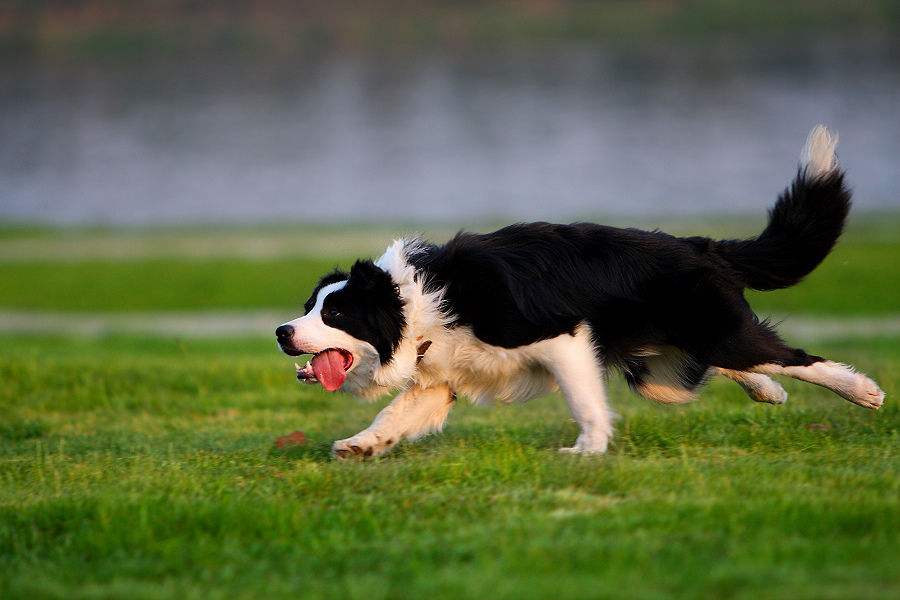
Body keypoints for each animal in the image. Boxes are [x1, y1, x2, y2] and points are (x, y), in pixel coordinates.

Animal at [276, 124, 884, 458]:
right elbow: (394, 417)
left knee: (792, 355)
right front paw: (359, 446)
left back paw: (864, 392)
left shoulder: (560, 336)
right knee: (721, 366)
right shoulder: (439, 377)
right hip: (662, 370)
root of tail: (703, 245)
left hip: (711, 332)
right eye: (309, 307)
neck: (416, 303)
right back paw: (768, 392)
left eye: (336, 313)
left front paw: (586, 451)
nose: (282, 332)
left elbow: (584, 400)